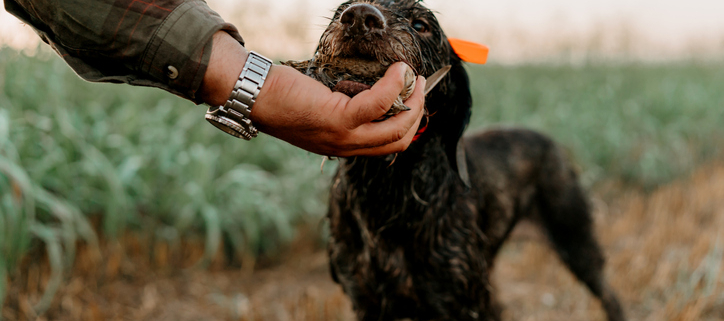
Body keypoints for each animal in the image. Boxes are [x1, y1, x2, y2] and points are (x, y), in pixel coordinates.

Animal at [286, 1, 624, 318]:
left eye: (420, 25)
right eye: (339, 11)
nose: (358, 17)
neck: (388, 190)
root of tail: (547, 139)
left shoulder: (459, 301)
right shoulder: (366, 300)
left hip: (576, 240)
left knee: (609, 295)